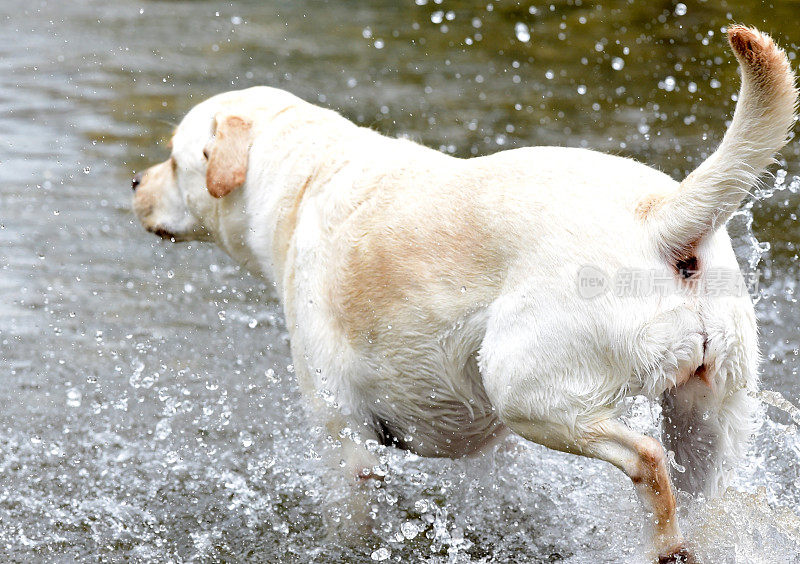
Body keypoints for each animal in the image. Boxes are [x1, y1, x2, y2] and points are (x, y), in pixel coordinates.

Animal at [131, 27, 792, 564]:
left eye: (174, 159)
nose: (135, 182)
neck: (307, 173)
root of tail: (660, 219)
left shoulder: (344, 437)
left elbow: (350, 524)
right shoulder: (481, 446)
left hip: (526, 391)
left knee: (648, 462)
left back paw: (665, 545)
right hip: (709, 417)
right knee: (701, 490)